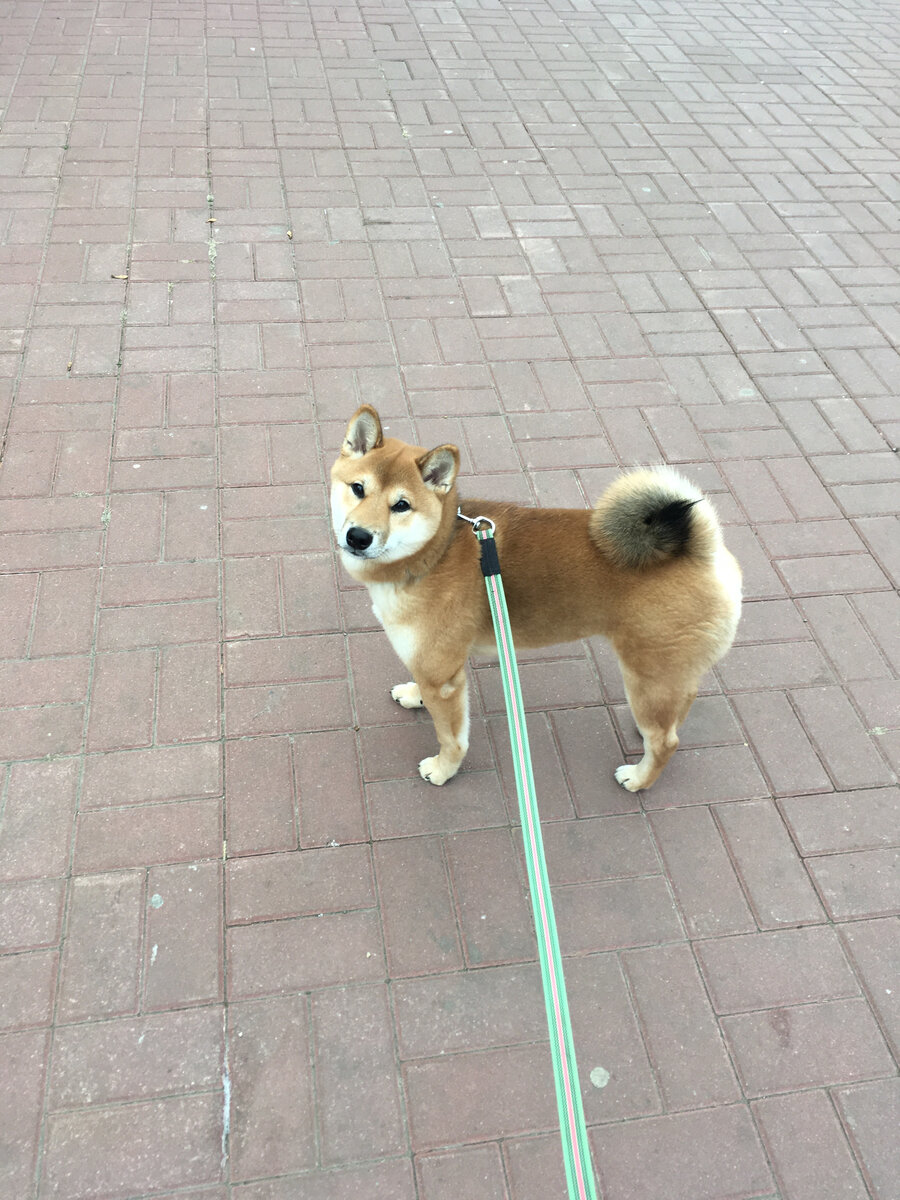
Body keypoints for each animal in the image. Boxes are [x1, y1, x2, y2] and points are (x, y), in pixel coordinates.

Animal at [331, 408, 739, 792]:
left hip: (648, 675)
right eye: (358, 488)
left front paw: (443, 769)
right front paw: (413, 695)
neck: (435, 551)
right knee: (679, 709)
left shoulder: (442, 678)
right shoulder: (436, 666)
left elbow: (452, 739)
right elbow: (422, 686)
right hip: (667, 675)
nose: (358, 536)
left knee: (667, 742)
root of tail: (702, 553)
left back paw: (639, 778)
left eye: (401, 505)